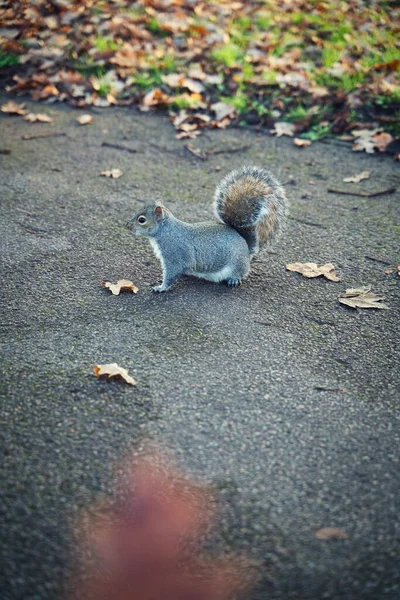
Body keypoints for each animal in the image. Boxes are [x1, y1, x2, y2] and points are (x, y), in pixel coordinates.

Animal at [126, 166, 290, 292]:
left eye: (142, 220)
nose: (127, 225)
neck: (166, 232)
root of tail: (245, 245)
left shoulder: (175, 255)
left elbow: (171, 274)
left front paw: (161, 287)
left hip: (237, 263)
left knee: (241, 272)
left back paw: (234, 279)